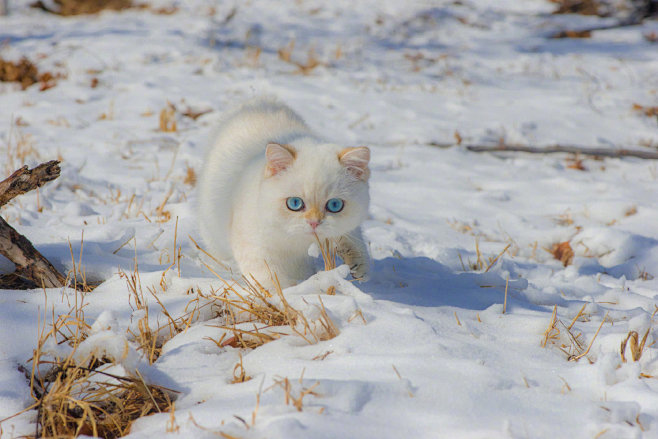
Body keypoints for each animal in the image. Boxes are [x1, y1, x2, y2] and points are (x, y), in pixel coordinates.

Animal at [196, 98, 368, 290]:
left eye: (335, 205)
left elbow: (350, 235)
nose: (314, 223)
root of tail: (259, 103)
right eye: (294, 203)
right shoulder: (255, 244)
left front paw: (357, 264)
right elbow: (270, 277)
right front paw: (290, 293)